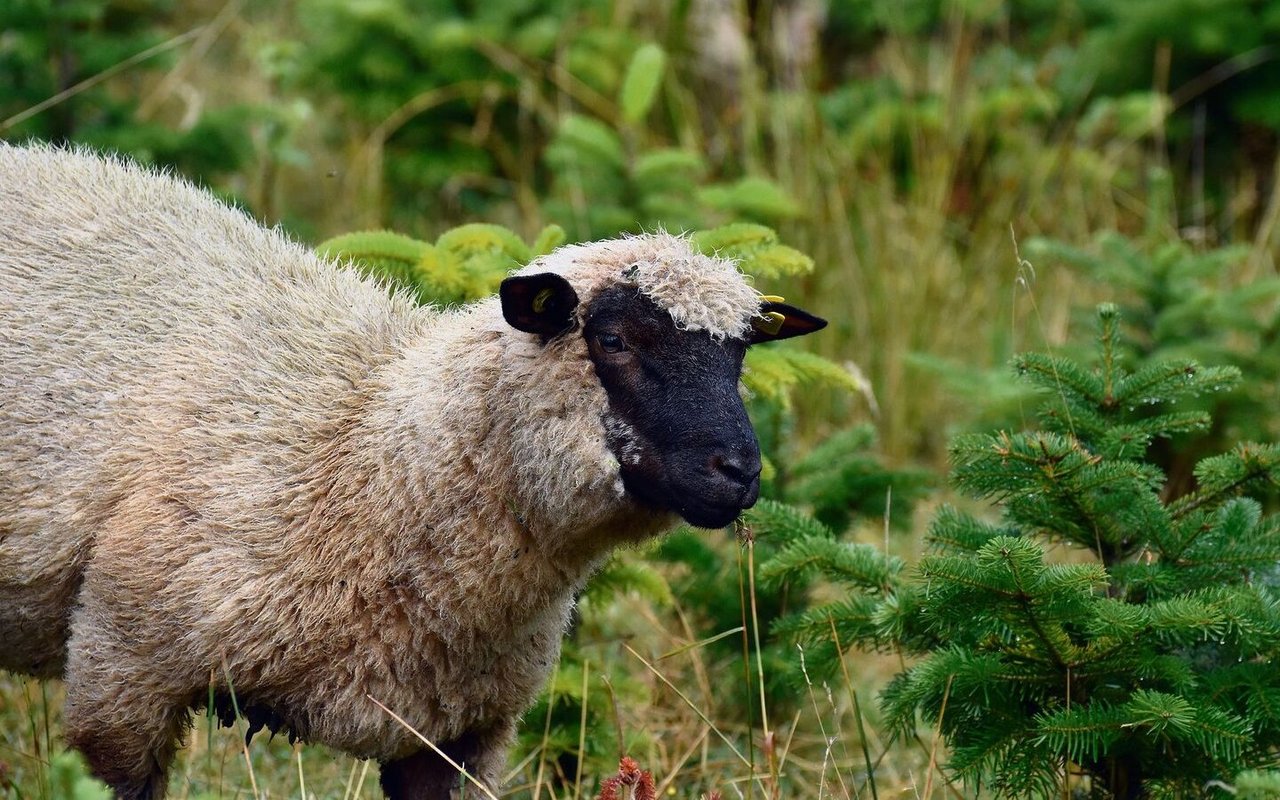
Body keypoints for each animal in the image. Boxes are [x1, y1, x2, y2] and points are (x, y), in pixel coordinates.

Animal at [0, 143, 824, 798]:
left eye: (740, 354)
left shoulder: (455, 737)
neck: (363, 454)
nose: (739, 472)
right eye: (614, 339)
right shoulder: (123, 678)